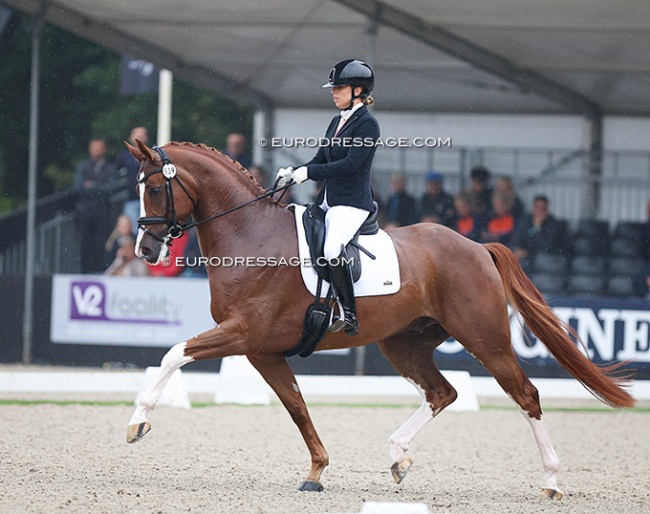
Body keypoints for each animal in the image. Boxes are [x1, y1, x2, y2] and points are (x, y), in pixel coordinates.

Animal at [126, 140, 635, 499]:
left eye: (156, 188)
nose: (145, 251)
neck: (251, 234)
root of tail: (476, 247)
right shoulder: (261, 350)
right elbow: (296, 407)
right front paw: (316, 471)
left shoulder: (242, 334)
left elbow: (173, 354)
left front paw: (137, 423)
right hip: (403, 343)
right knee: (442, 392)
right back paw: (398, 457)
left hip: (484, 338)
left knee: (525, 395)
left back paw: (551, 481)